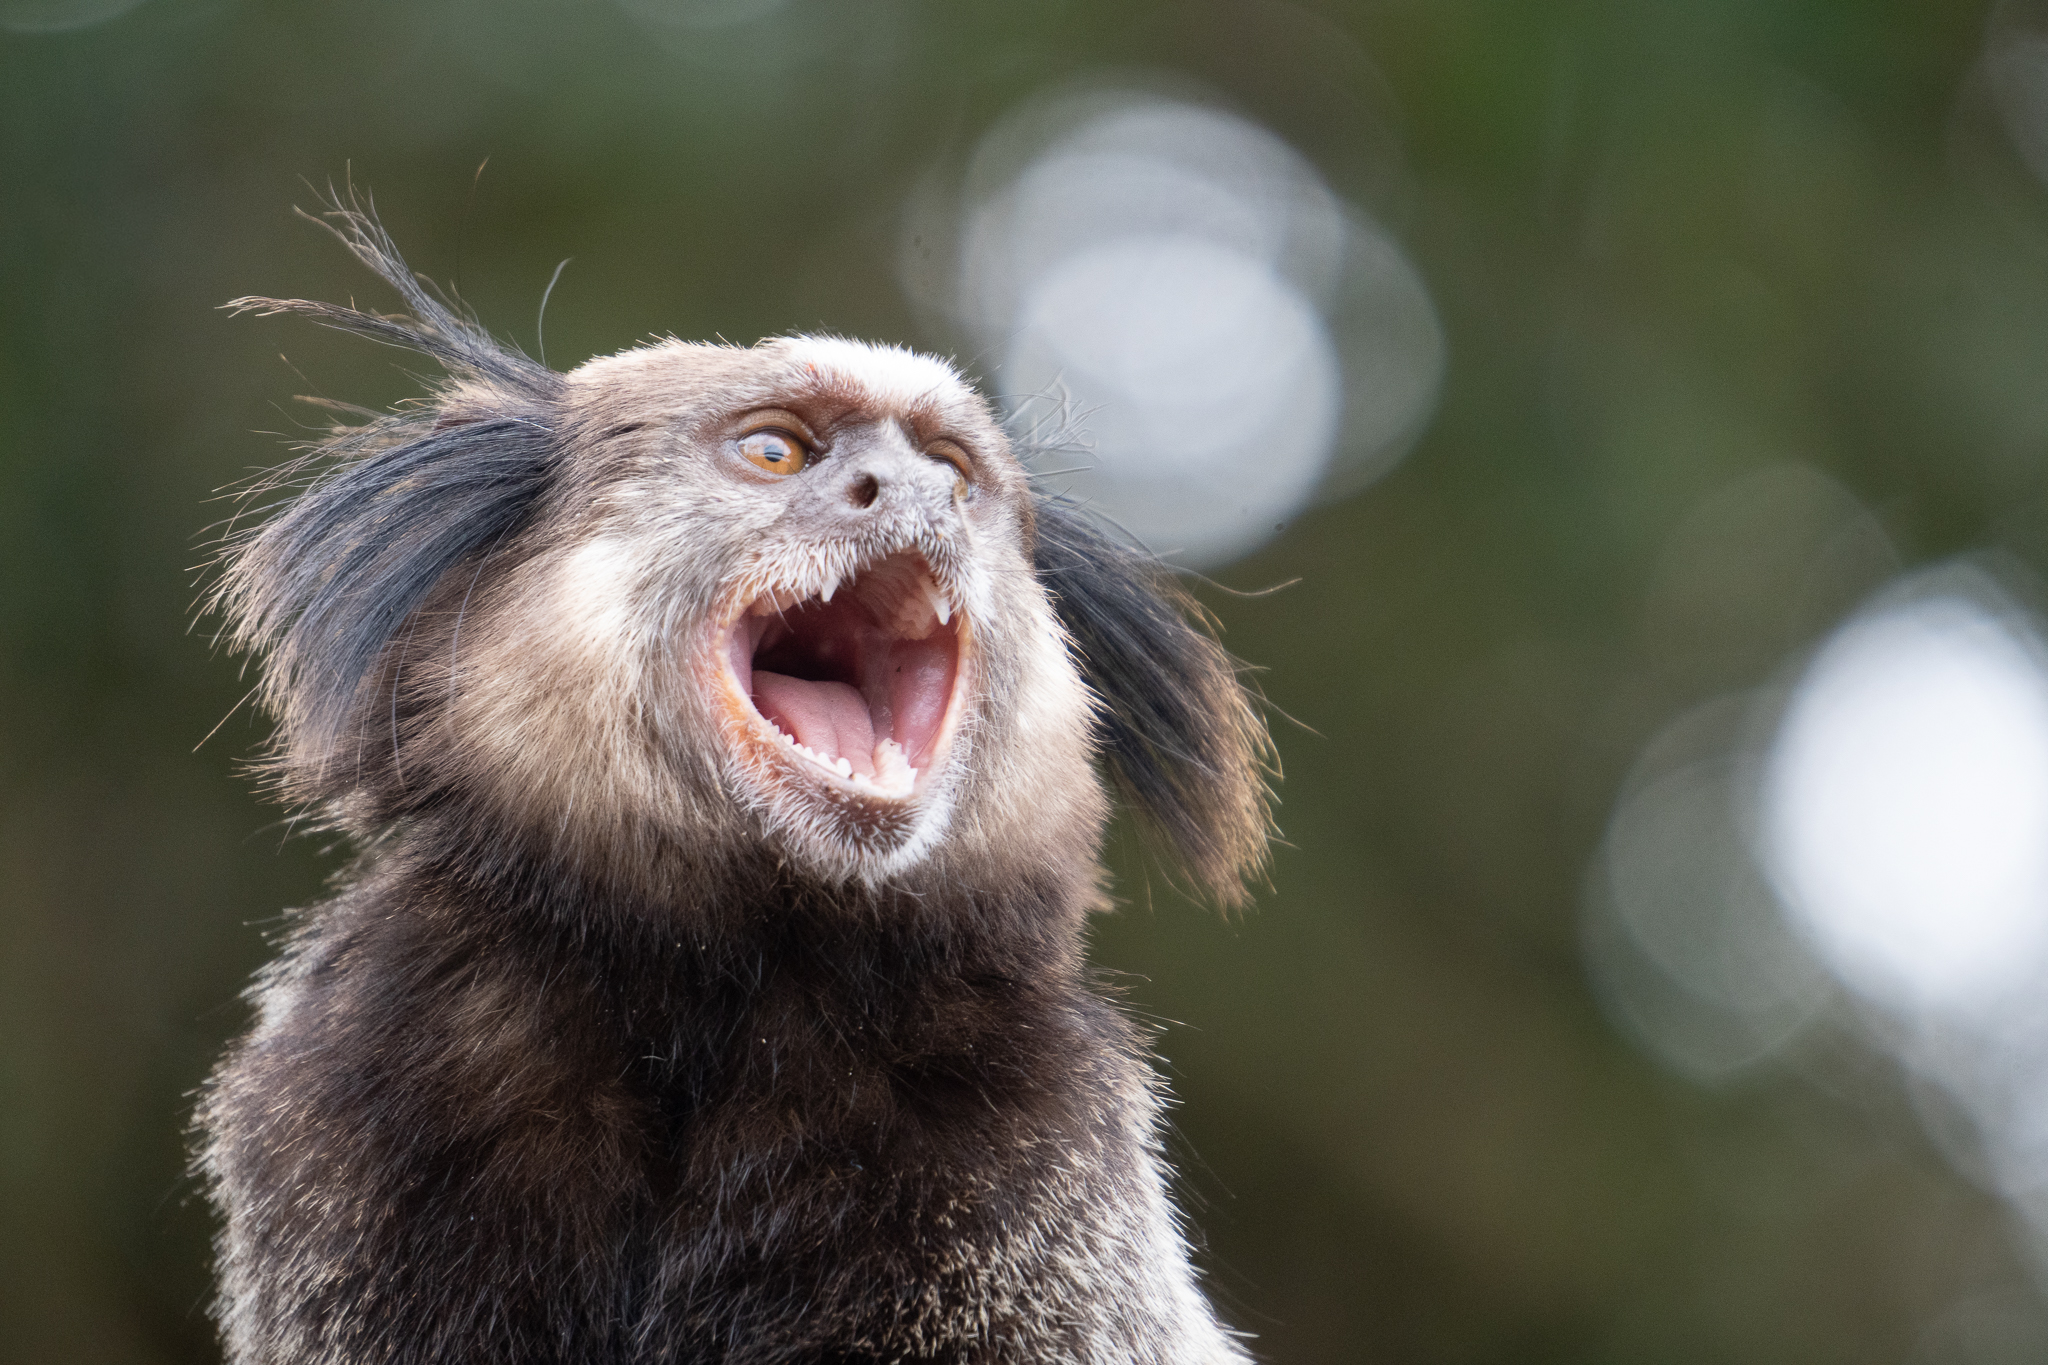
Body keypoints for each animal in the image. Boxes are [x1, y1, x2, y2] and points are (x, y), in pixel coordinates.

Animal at [195, 197, 1273, 1365]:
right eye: (775, 450)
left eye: (951, 472)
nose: (912, 495)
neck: (711, 1000)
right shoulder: (359, 1094)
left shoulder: (1039, 1167)